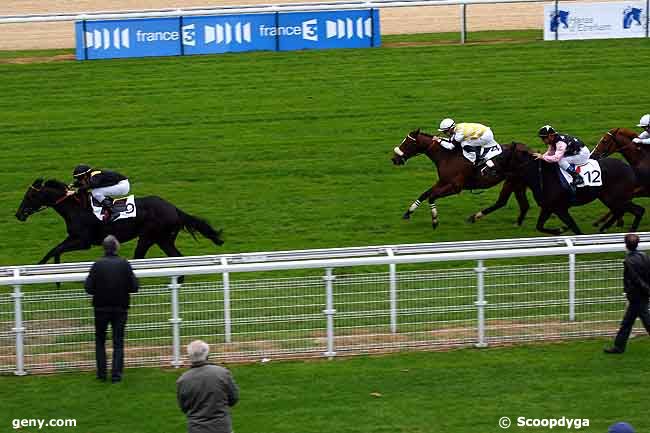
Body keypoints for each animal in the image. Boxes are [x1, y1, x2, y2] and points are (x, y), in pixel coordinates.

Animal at [14, 177, 225, 264]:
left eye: (30, 196)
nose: (19, 214)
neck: (76, 208)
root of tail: (174, 208)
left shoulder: (83, 241)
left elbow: (57, 249)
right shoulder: (74, 237)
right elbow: (54, 249)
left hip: (149, 237)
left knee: (140, 258)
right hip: (163, 239)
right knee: (175, 256)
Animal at [390, 129, 528, 228]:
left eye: (408, 143)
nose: (394, 159)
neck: (447, 156)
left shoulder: (456, 187)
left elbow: (432, 196)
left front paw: (435, 221)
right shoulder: (443, 181)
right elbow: (424, 194)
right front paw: (408, 213)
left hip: (513, 180)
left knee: (503, 202)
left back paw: (475, 217)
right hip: (517, 182)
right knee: (517, 204)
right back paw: (516, 222)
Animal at [494, 143, 640, 235]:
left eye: (500, 156)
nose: (489, 169)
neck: (542, 176)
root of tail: (629, 168)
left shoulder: (560, 208)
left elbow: (575, 228)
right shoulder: (548, 207)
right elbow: (540, 226)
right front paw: (560, 230)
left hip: (615, 198)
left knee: (635, 210)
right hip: (610, 198)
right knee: (622, 211)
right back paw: (605, 228)